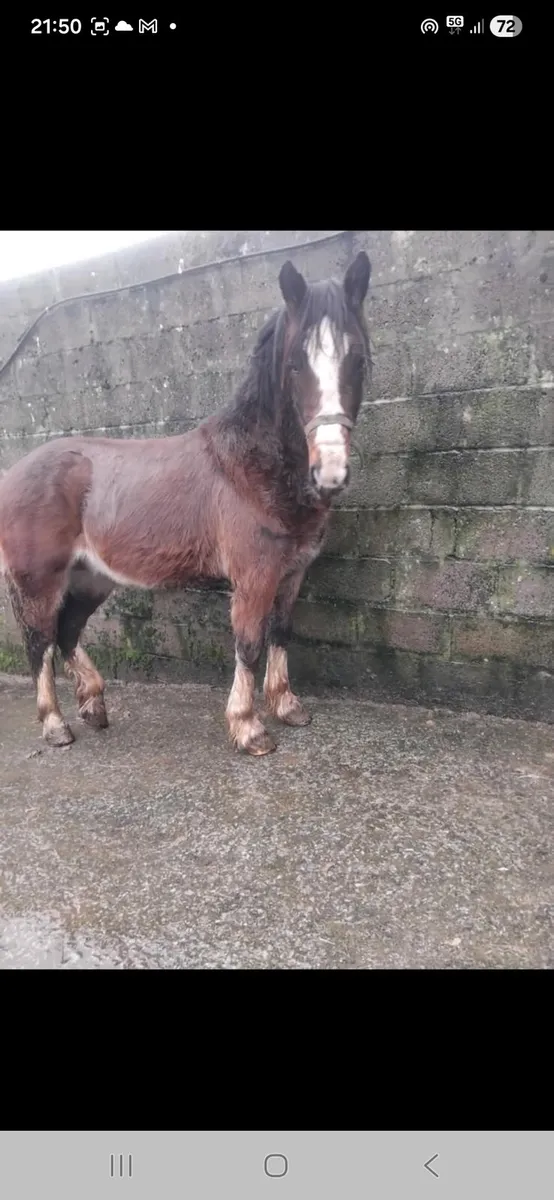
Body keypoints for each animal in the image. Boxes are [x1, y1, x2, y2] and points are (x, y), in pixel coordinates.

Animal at [0, 250, 371, 755]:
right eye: (295, 364)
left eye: (358, 360)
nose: (330, 472)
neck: (249, 467)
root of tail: (13, 473)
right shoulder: (254, 577)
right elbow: (249, 643)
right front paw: (249, 727)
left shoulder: (292, 573)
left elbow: (281, 632)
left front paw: (287, 706)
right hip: (39, 580)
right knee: (39, 641)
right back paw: (56, 724)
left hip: (91, 577)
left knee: (67, 632)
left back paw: (94, 705)